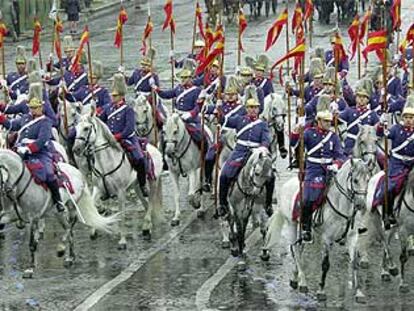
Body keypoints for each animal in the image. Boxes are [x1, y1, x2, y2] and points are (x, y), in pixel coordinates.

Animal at [0, 149, 118, 278]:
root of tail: (77, 172)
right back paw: (70, 257)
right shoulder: (10, 215)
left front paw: (30, 269)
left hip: (71, 207)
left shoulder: (33, 218)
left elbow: (31, 244)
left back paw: (62, 250)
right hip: (58, 214)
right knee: (68, 228)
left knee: (70, 228)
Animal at [72, 112, 163, 249]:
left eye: (86, 128)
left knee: (151, 201)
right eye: (76, 128)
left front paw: (122, 240)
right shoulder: (98, 189)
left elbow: (122, 214)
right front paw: (94, 229)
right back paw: (147, 226)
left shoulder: (121, 192)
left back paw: (147, 227)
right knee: (146, 203)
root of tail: (154, 147)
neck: (105, 162)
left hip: (153, 182)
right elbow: (93, 207)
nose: (76, 149)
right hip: (137, 186)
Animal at [262, 160, 372, 302]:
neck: (342, 204)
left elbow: (354, 264)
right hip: (292, 224)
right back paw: (303, 282)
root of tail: (287, 184)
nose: (361, 205)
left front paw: (358, 292)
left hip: (304, 232)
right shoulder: (327, 238)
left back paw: (295, 277)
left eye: (368, 179)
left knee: (299, 249)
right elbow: (325, 264)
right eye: (355, 180)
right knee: (295, 250)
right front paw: (321, 291)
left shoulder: (353, 237)